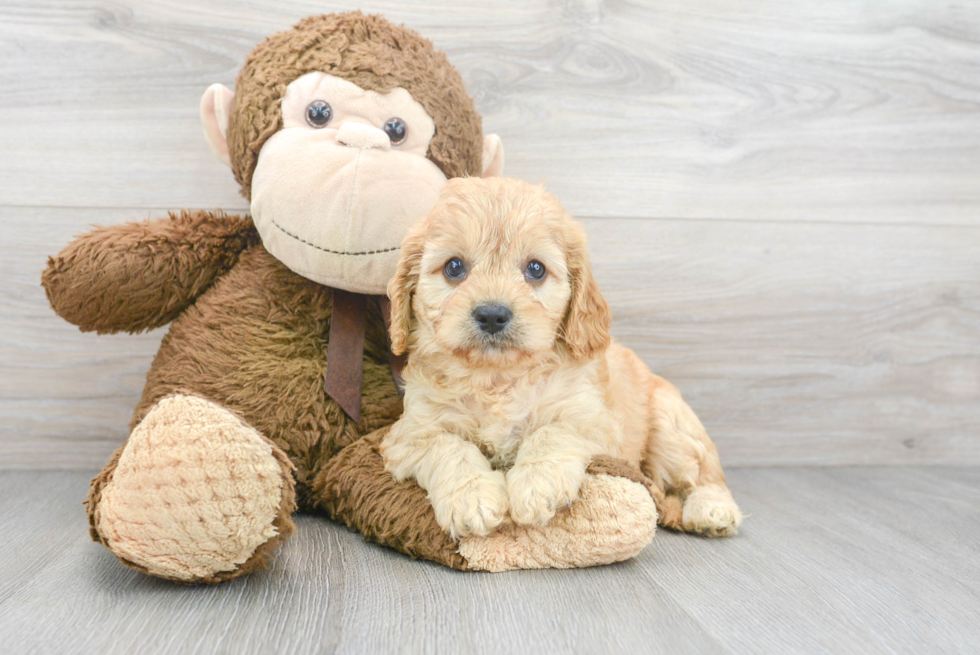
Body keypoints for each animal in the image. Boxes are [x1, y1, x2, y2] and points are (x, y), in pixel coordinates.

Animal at [382, 177, 744, 540]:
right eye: (454, 267)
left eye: (535, 269)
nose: (492, 315)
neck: (498, 378)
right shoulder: (411, 432)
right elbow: (449, 447)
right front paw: (472, 497)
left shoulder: (591, 418)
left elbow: (551, 433)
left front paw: (535, 485)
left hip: (672, 426)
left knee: (706, 475)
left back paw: (712, 510)